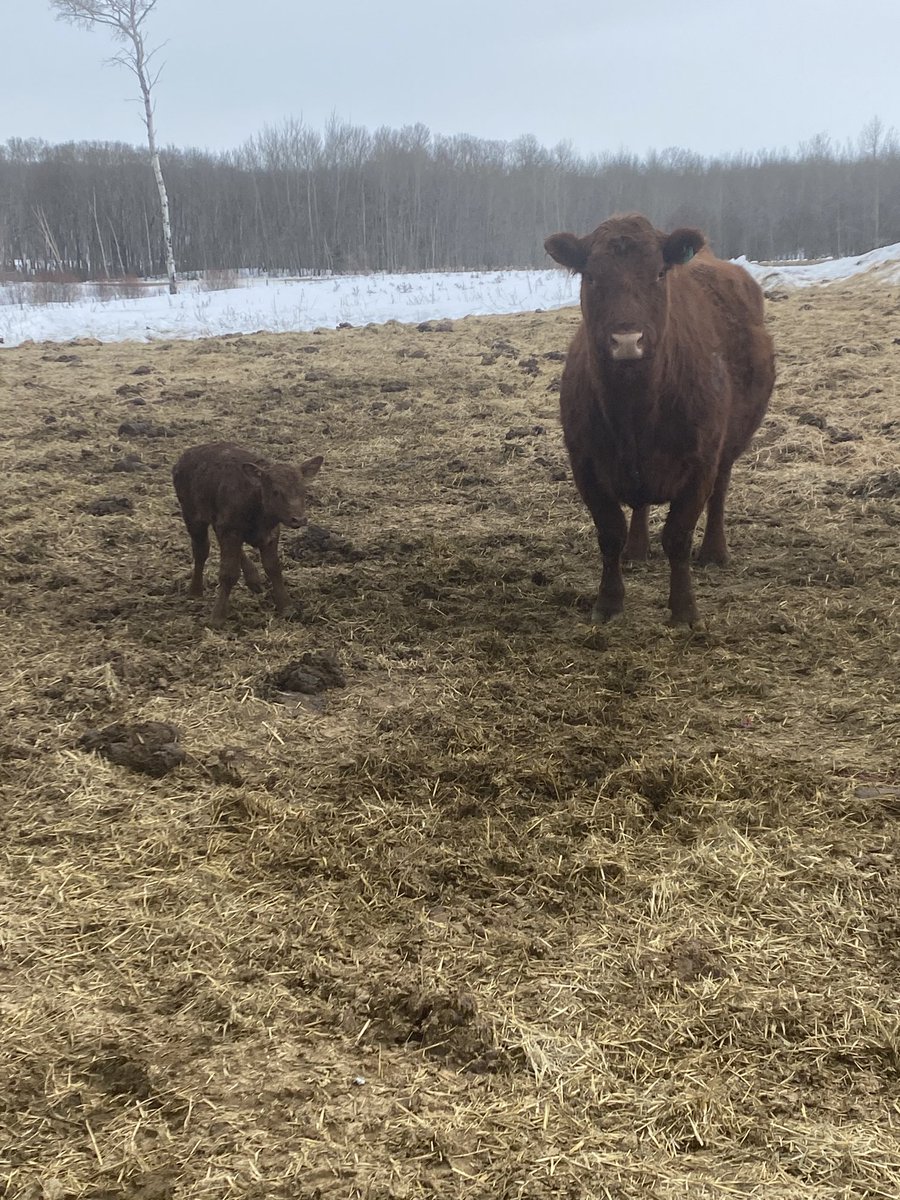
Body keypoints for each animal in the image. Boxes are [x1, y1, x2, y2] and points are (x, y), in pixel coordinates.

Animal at [173, 442, 323, 626]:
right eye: (275, 491)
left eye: (303, 490)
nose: (299, 519)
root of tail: (184, 457)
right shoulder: (230, 531)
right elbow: (228, 572)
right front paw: (217, 617)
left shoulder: (269, 534)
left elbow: (273, 568)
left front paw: (286, 607)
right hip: (192, 515)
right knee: (201, 550)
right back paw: (195, 590)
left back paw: (254, 580)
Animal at [544, 213, 775, 626]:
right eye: (592, 276)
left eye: (658, 273)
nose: (627, 340)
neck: (634, 410)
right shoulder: (585, 464)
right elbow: (610, 533)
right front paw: (609, 602)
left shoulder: (700, 463)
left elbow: (678, 536)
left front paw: (684, 609)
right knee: (640, 506)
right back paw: (637, 550)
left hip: (730, 444)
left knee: (720, 492)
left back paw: (714, 552)